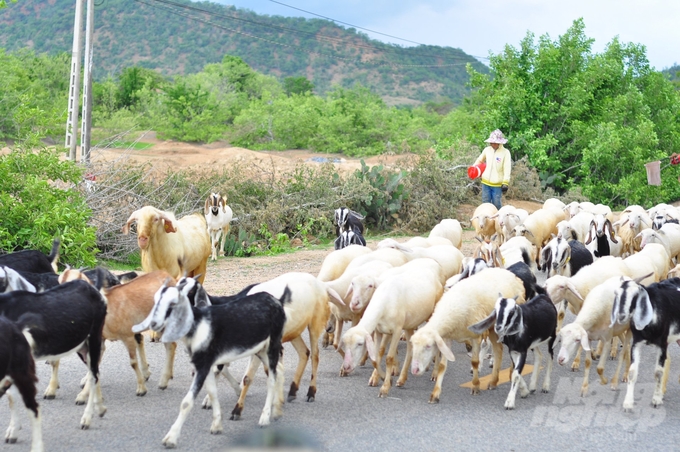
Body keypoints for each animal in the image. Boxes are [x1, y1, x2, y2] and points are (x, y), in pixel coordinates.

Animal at [0, 274, 107, 430]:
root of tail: (94, 290)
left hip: (94, 337)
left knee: (94, 375)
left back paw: (86, 418)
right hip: (81, 346)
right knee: (96, 372)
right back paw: (100, 408)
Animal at [410, 266, 524, 400]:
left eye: (428, 346)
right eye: (413, 346)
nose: (415, 370)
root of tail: (508, 272)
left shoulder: (475, 337)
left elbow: (475, 362)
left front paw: (475, 386)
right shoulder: (448, 338)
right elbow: (443, 366)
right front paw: (435, 394)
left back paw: (511, 374)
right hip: (492, 327)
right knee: (498, 349)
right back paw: (493, 381)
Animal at [608, 276, 680, 410]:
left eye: (636, 296)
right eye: (617, 294)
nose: (621, 316)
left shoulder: (662, 345)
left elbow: (658, 372)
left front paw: (656, 400)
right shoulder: (636, 343)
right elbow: (632, 372)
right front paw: (628, 403)